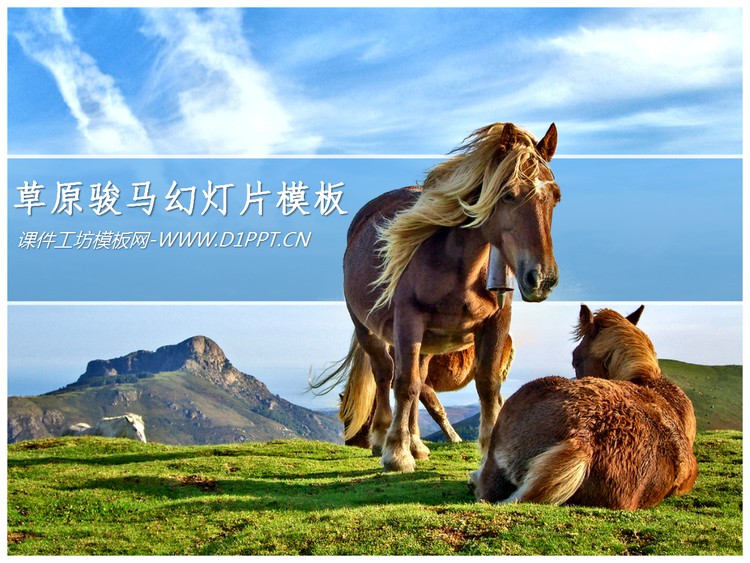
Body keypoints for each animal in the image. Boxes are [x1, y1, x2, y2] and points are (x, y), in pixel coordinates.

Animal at [311, 122, 560, 472]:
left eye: (555, 197)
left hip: (428, 342)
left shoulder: (497, 322)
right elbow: (404, 384)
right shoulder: (408, 321)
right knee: (386, 374)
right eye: (508, 195)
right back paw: (383, 438)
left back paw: (416, 443)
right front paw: (397, 454)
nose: (542, 279)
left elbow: (487, 386)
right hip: (369, 329)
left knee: (418, 379)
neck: (459, 267)